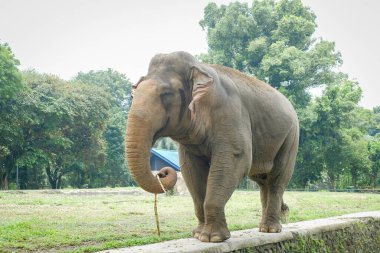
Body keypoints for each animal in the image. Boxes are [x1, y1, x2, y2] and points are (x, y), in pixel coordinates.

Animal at [126, 51, 298, 243]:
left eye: (166, 93)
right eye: (133, 94)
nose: (162, 173)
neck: (200, 67)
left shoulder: (230, 113)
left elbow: (236, 159)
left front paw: (213, 238)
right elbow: (191, 169)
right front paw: (198, 234)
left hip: (291, 137)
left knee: (277, 179)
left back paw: (271, 230)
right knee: (263, 181)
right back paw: (263, 228)